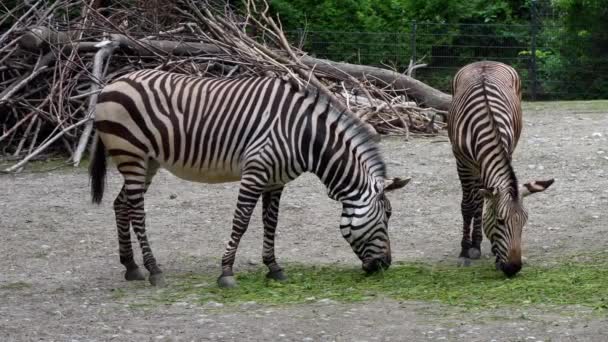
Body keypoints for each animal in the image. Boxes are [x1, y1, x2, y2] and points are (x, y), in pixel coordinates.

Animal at [88, 69, 410, 286]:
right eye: (388, 215)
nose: (385, 266)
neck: (305, 137)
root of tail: (111, 83)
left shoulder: (276, 180)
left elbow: (271, 223)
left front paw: (274, 267)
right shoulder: (255, 172)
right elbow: (241, 221)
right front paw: (226, 272)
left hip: (147, 161)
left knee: (121, 205)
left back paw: (131, 267)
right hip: (131, 154)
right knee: (136, 211)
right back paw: (154, 270)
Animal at [448, 60, 552, 276]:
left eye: (524, 222)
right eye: (500, 221)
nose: (513, 268)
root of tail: (484, 61)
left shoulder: (507, 152)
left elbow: (483, 203)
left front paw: (490, 253)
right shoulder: (462, 163)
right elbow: (468, 205)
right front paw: (464, 251)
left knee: (480, 199)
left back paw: (477, 244)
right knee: (475, 201)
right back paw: (473, 246)